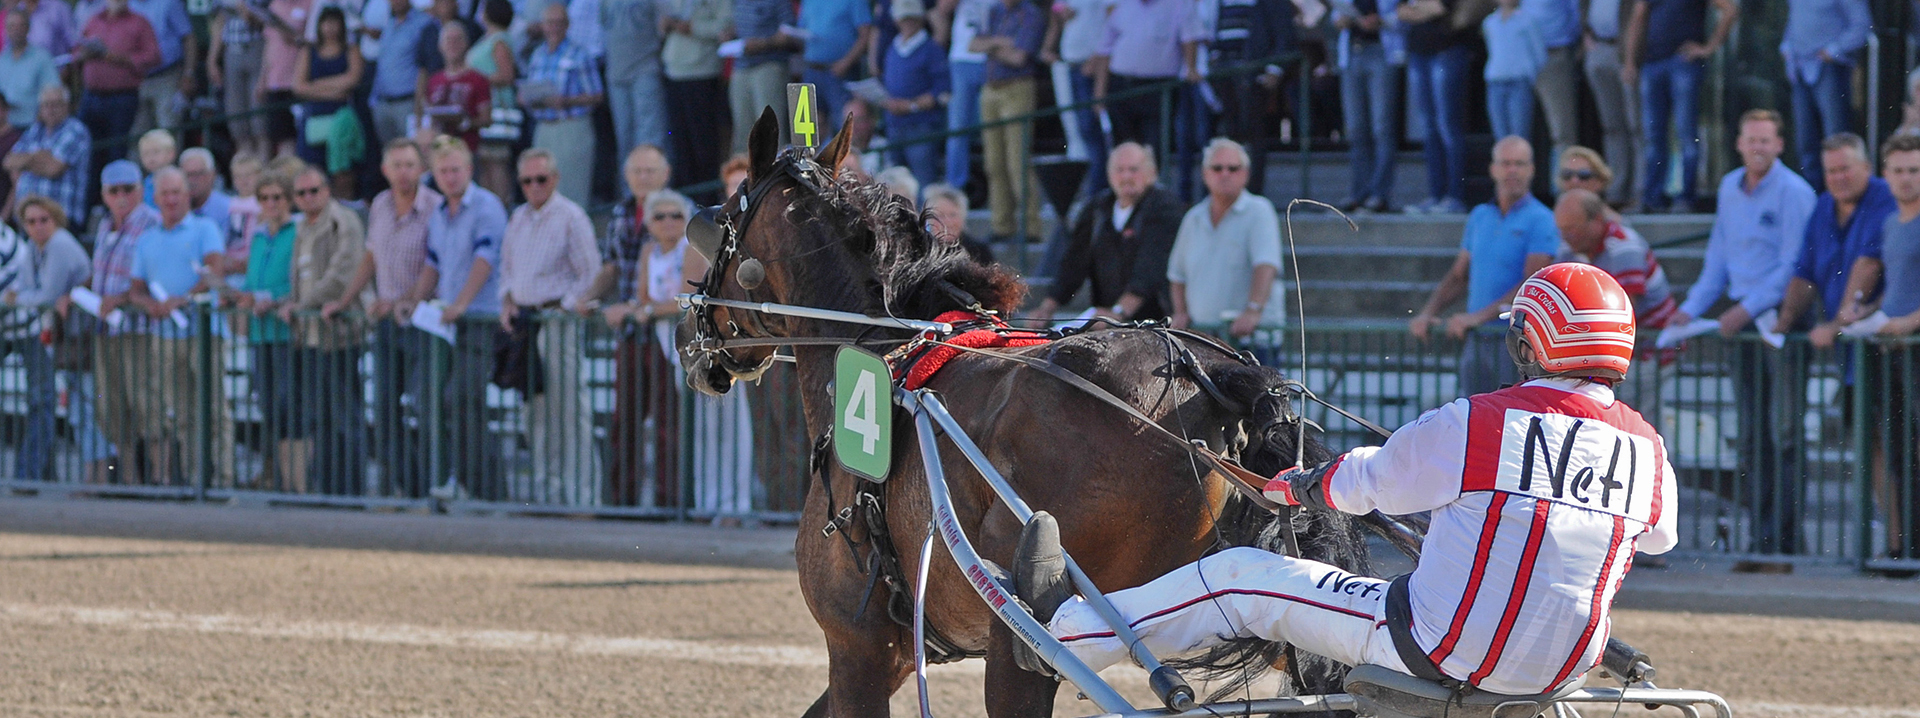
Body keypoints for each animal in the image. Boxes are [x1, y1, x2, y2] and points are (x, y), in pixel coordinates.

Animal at [687, 109, 1367, 714]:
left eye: (714, 222)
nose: (692, 332)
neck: (886, 349)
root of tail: (1212, 380)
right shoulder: (897, 652)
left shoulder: (859, 647)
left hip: (1023, 646)